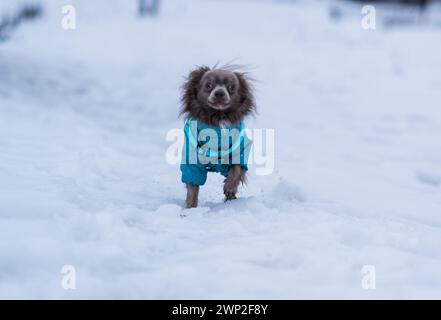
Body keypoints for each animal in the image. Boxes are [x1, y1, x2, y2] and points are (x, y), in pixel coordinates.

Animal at [179, 66, 254, 209]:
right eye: (208, 85)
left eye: (231, 87)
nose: (219, 93)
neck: (217, 118)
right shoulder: (191, 161)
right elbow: (192, 188)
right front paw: (190, 208)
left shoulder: (241, 149)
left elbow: (236, 168)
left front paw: (230, 187)